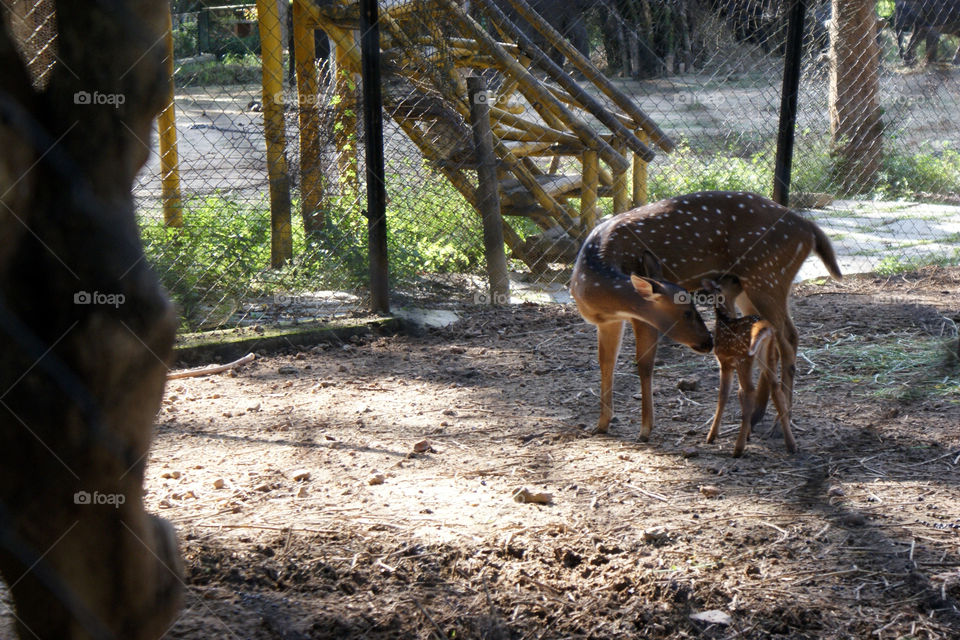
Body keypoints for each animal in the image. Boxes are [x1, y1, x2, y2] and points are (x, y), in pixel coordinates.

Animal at [703, 277, 795, 457]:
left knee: (750, 391)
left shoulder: (725, 362)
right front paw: (748, 434)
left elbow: (723, 395)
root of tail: (765, 328)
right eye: (731, 281)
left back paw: (738, 448)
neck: (724, 320)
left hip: (745, 357)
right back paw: (791, 445)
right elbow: (737, 393)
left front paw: (712, 436)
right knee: (776, 390)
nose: (738, 279)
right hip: (768, 355)